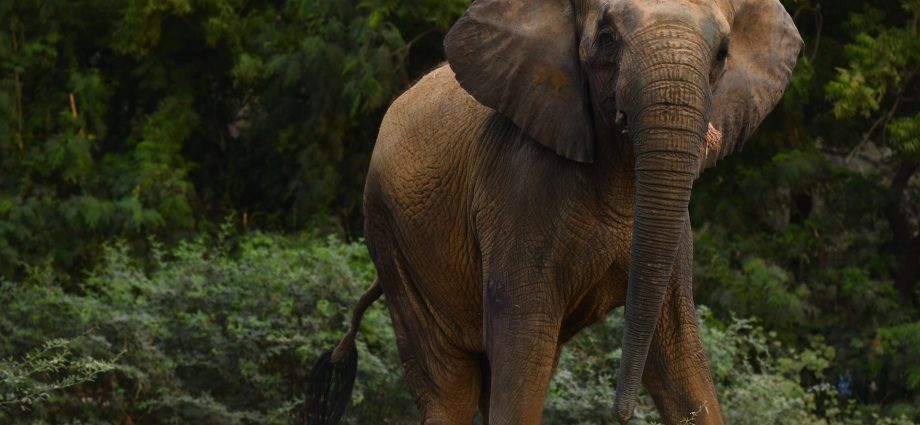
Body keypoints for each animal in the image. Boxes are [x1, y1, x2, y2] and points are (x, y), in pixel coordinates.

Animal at [305, 0, 802, 424]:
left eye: (722, 53)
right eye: (606, 38)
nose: (621, 413)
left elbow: (679, 353)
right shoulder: (516, 187)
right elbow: (523, 344)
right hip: (391, 239)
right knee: (451, 385)